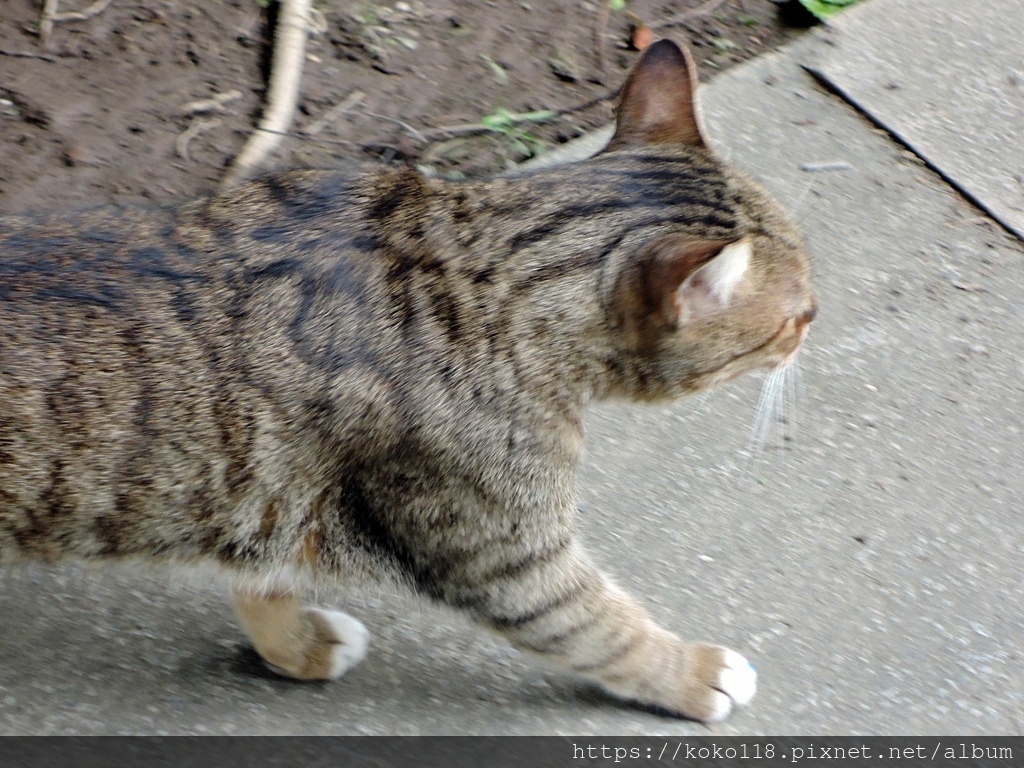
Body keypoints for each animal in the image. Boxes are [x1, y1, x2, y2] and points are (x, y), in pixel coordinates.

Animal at [2, 40, 815, 729]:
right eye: (796, 316)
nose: (818, 319)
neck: (469, 260)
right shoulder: (509, 555)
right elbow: (604, 628)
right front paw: (692, 673)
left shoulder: (268, 502)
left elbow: (264, 583)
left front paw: (295, 647)